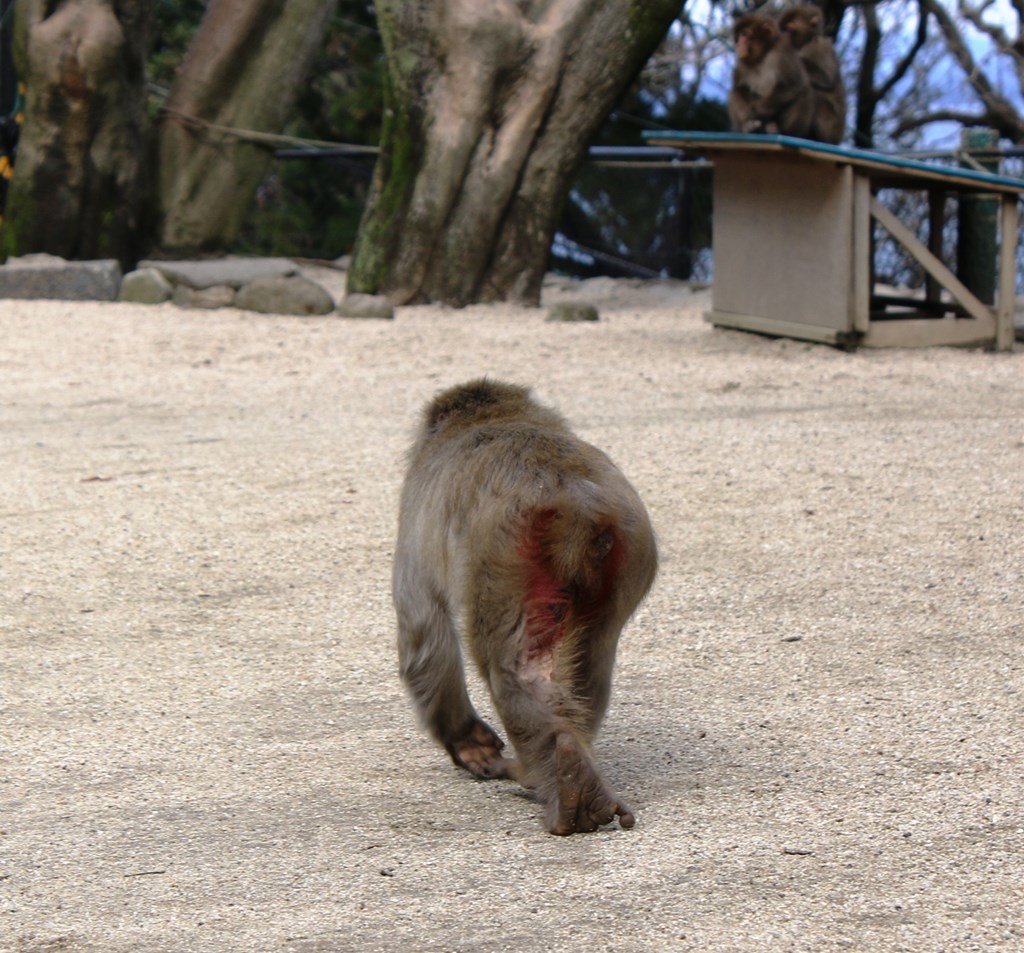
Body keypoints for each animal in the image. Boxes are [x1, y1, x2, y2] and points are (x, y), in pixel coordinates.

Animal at [391, 380, 655, 835]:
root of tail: (573, 497)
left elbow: (423, 629)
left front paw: (466, 742)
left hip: (507, 555)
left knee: (512, 671)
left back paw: (550, 778)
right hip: (627, 551)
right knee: (589, 665)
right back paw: (574, 778)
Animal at [778, 4, 843, 145]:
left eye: (789, 30)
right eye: (783, 29)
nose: (783, 39)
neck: (807, 42)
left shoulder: (821, 45)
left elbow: (826, 78)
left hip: (831, 128)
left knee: (815, 95)